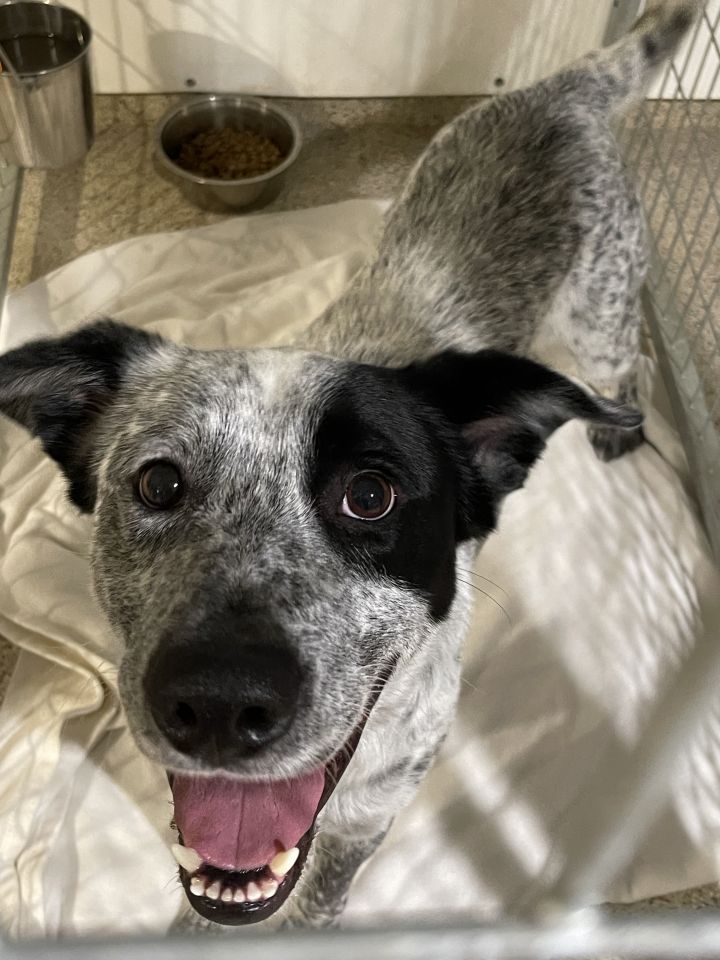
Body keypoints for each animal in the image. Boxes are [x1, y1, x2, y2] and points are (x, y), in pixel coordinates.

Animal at [0, 0, 696, 928]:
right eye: (158, 483)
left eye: (371, 494)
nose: (219, 701)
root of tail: (565, 87)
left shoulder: (368, 819)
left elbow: (318, 898)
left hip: (601, 320)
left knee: (634, 368)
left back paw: (621, 429)